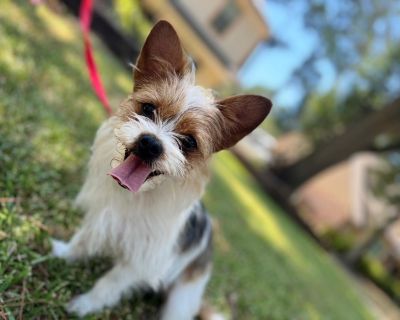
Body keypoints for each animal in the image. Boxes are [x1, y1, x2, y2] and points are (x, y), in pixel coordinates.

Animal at [50, 20, 272, 320]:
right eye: (147, 108)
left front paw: (85, 304)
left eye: (189, 142)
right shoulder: (100, 219)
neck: (138, 195)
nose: (151, 143)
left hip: (180, 298)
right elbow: (83, 241)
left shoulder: (140, 262)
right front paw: (64, 253)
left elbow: (109, 283)